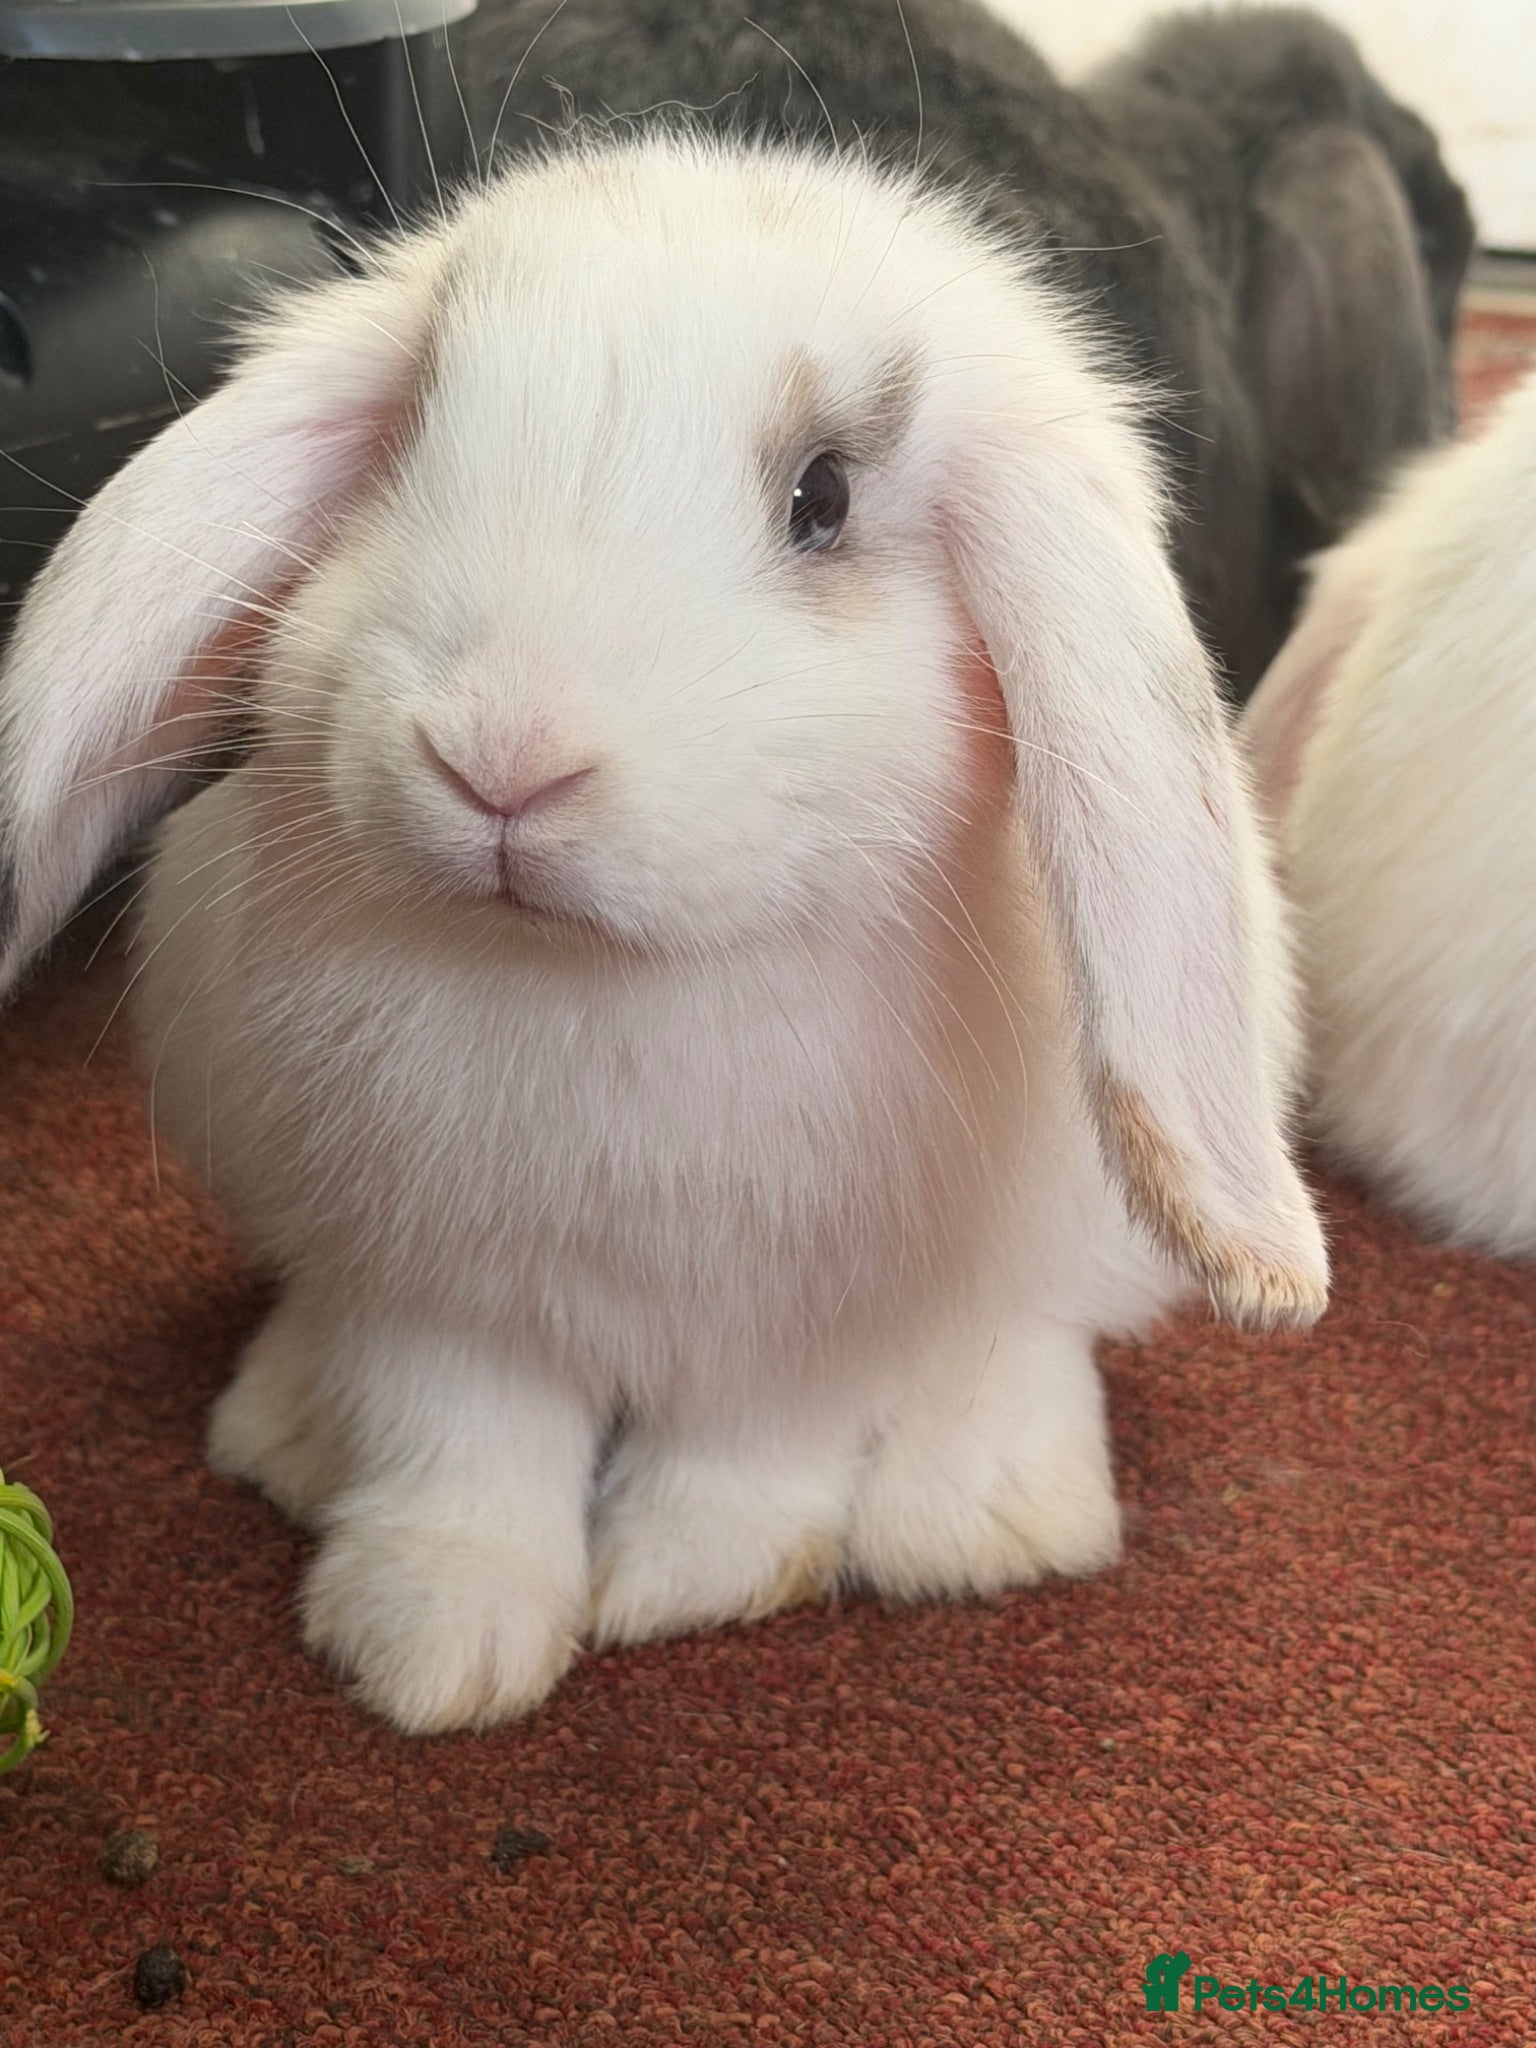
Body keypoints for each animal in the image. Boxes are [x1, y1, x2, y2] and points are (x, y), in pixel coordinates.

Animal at [0, 132, 1327, 1734]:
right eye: (409, 443)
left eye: (823, 495)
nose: (501, 757)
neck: (592, 976)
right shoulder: (433, 1291)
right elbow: (462, 1456)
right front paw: (431, 1655)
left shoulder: (804, 1324)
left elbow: (748, 1459)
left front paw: (680, 1587)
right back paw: (285, 1434)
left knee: (1029, 1338)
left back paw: (987, 1520)